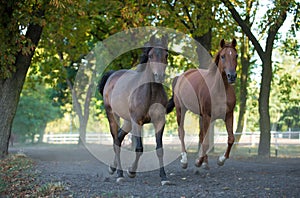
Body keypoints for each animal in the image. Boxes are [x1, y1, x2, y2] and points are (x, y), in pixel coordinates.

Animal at [97, 34, 170, 185]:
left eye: (166, 55)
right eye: (151, 56)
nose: (159, 77)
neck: (150, 92)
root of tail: (112, 76)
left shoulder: (159, 121)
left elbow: (159, 149)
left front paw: (164, 177)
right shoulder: (137, 121)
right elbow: (139, 148)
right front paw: (131, 171)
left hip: (128, 121)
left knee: (119, 138)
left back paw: (112, 168)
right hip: (113, 116)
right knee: (116, 141)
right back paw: (119, 174)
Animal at [168, 39, 238, 169]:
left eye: (236, 55)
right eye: (222, 56)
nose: (232, 76)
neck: (220, 90)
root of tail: (180, 77)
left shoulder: (228, 115)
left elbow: (230, 139)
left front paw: (220, 160)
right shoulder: (207, 115)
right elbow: (205, 142)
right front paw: (198, 161)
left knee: (201, 135)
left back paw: (205, 162)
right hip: (181, 110)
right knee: (182, 132)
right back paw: (184, 160)